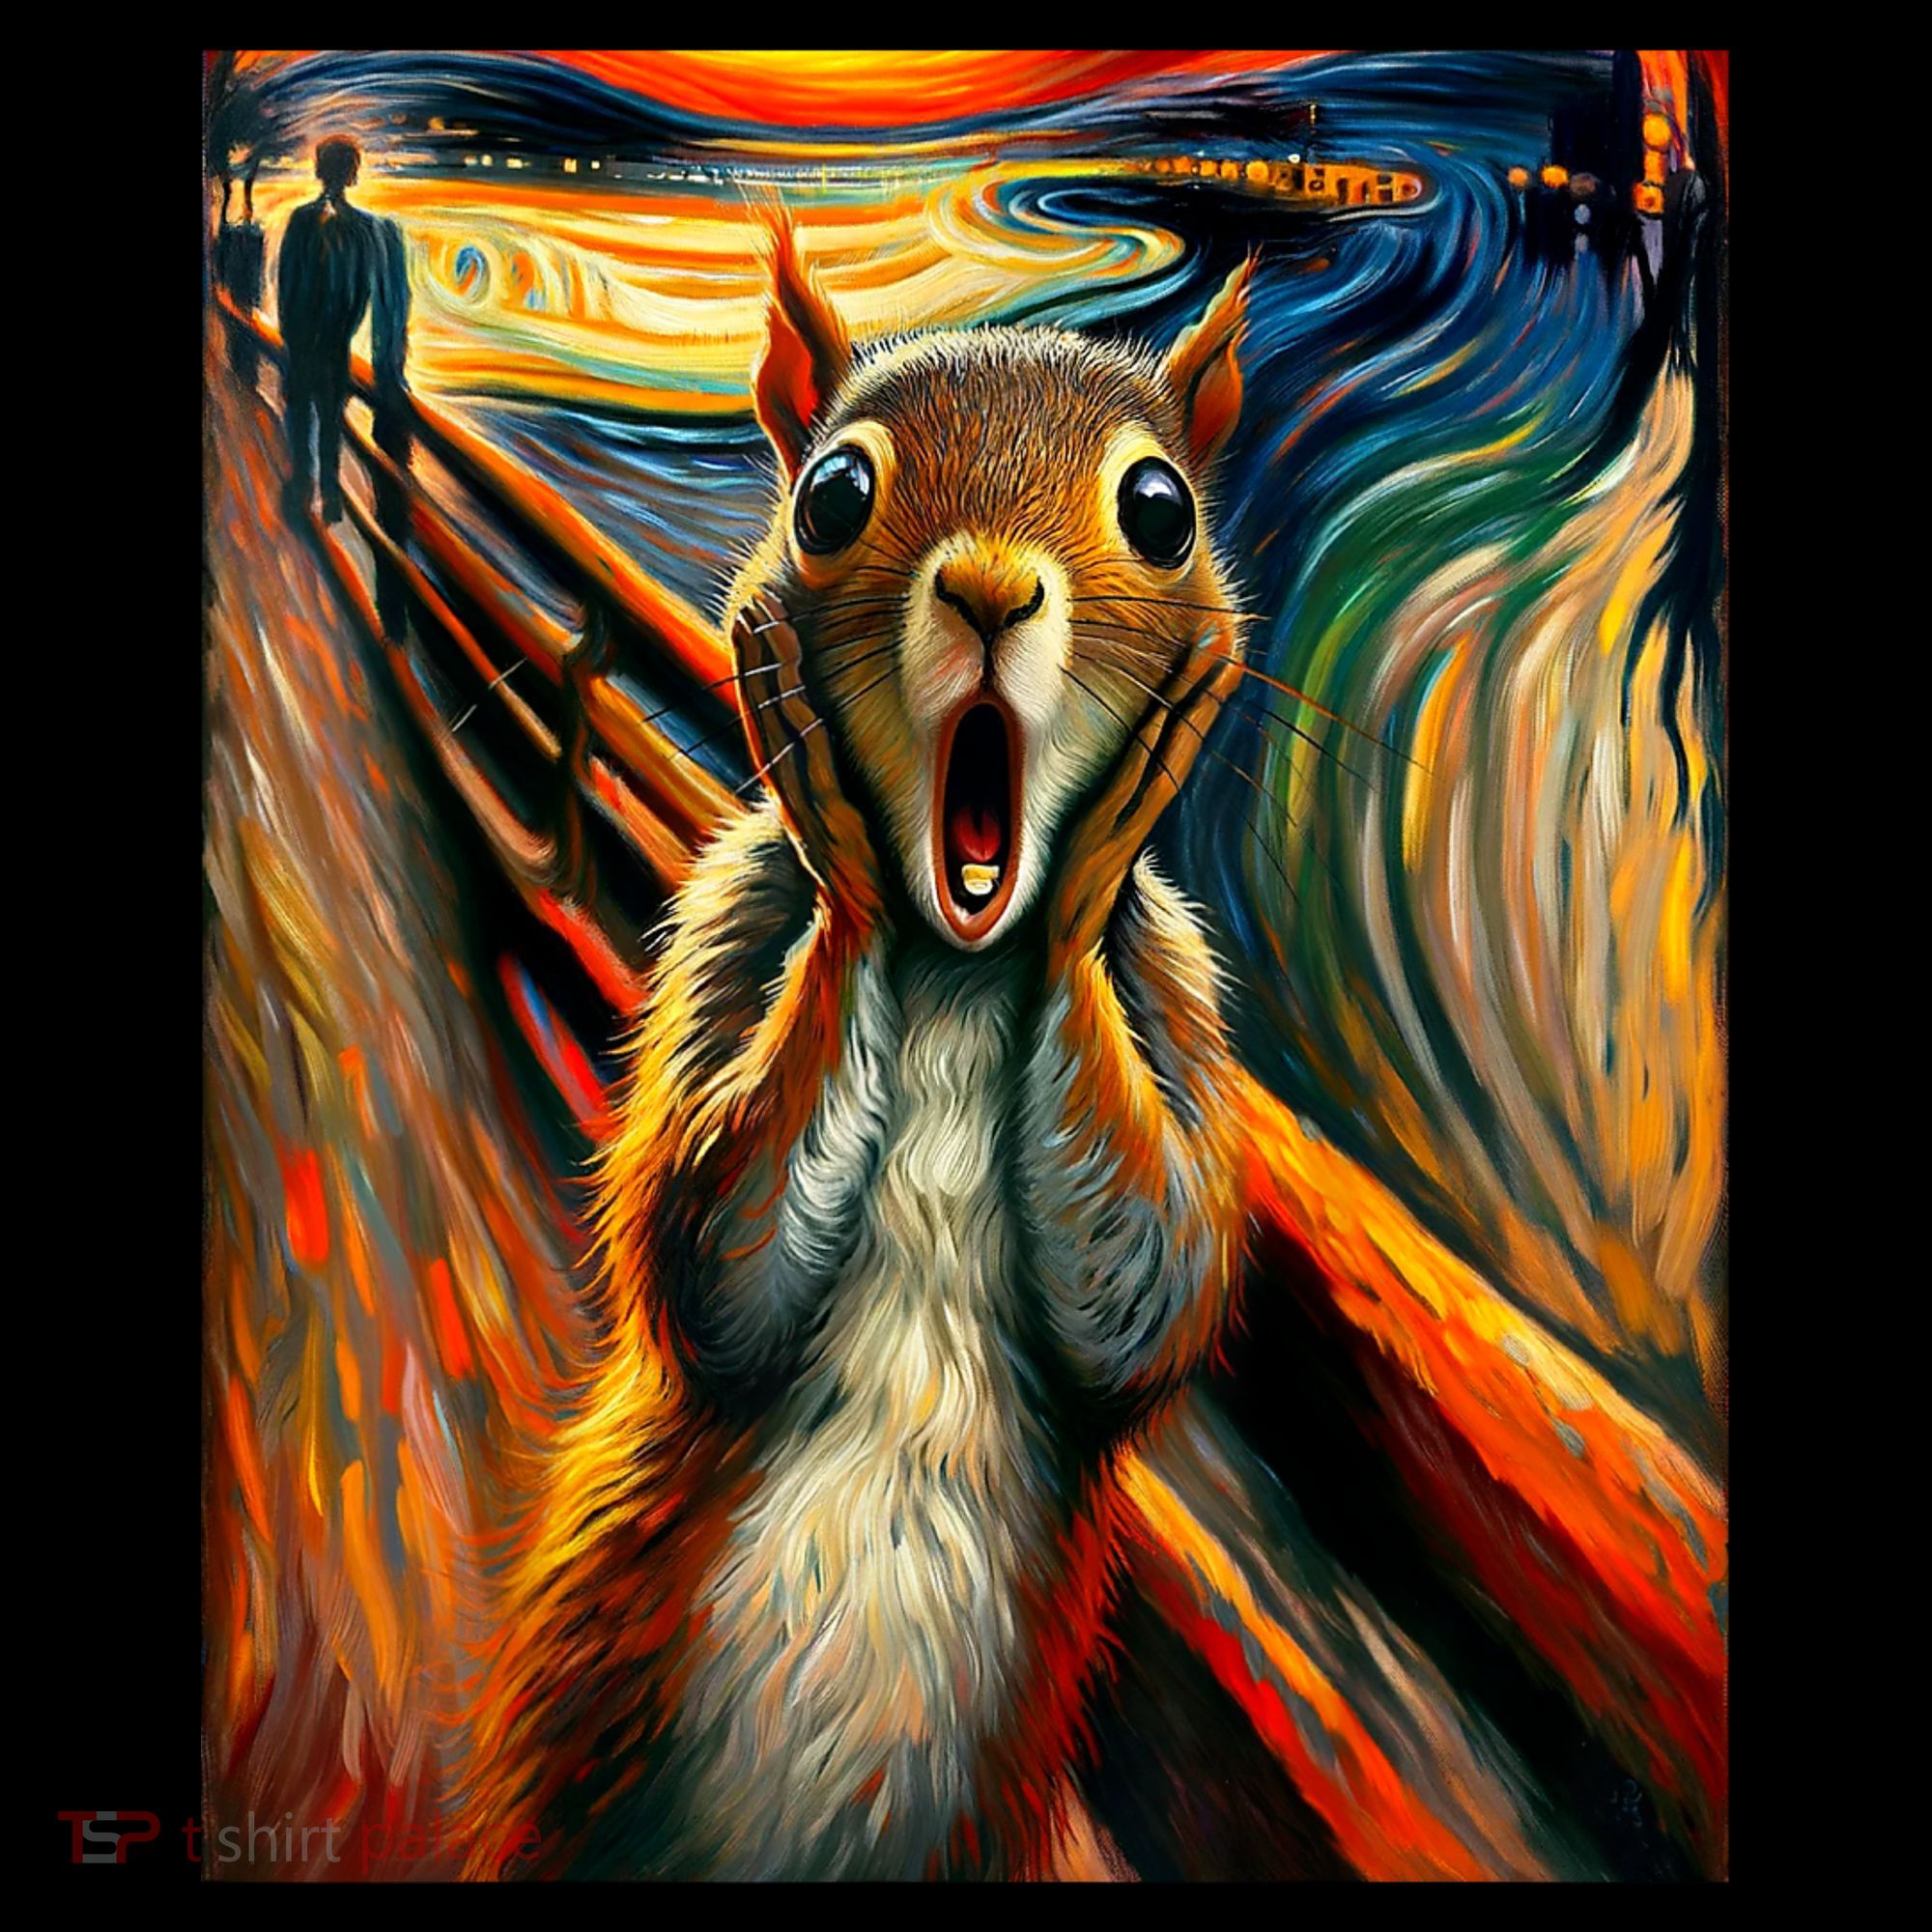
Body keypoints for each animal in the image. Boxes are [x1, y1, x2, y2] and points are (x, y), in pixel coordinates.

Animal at [460, 229, 1258, 1881]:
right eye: (832, 493)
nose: (991, 590)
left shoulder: (1176, 987)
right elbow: (710, 1264)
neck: (955, 969)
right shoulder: (731, 921)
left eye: (1161, 510)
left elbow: (1152, 1293)